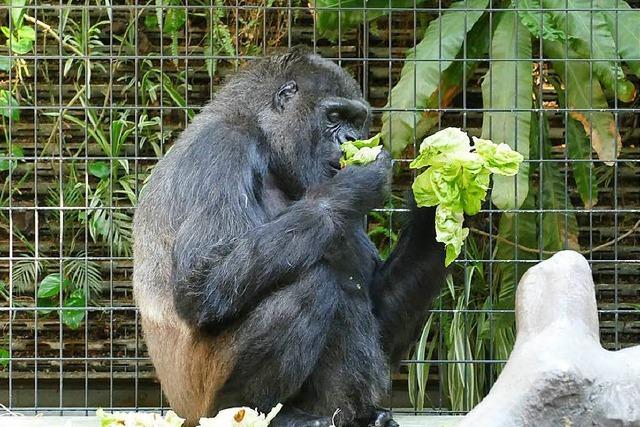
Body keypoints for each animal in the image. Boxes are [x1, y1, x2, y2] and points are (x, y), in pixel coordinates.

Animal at [134, 46, 444, 427]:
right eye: (334, 116)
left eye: (356, 121)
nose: (350, 140)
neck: (266, 143)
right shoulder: (221, 148)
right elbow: (202, 284)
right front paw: (351, 187)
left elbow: (378, 305)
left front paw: (435, 211)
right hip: (196, 405)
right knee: (312, 285)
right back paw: (252, 412)